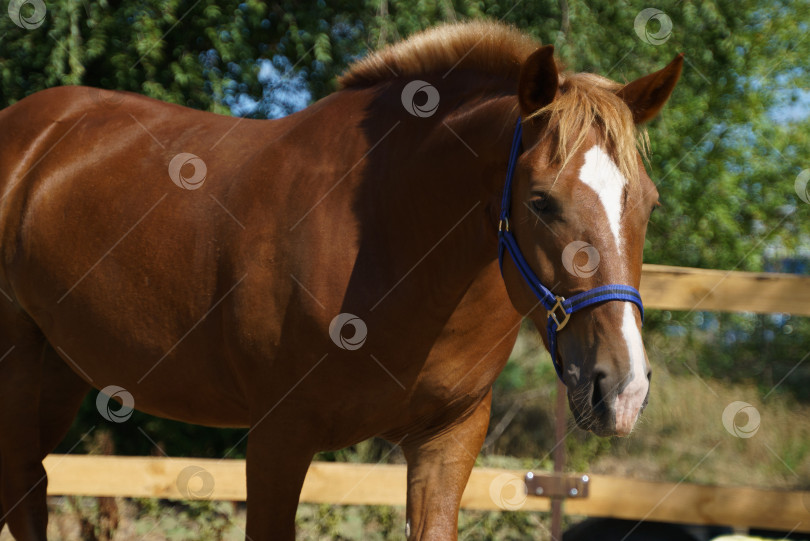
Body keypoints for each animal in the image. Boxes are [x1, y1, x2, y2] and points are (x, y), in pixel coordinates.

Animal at [0, 20, 680, 536]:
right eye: (540, 201)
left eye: (648, 204)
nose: (622, 388)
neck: (392, 241)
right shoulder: (278, 437)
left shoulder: (448, 438)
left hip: (58, 371)